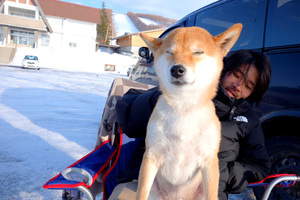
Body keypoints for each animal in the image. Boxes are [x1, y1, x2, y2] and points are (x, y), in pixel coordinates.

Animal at [137, 23, 243, 200]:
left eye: (198, 52)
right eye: (169, 52)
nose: (176, 69)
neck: (183, 109)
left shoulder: (209, 160)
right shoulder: (151, 155)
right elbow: (141, 193)